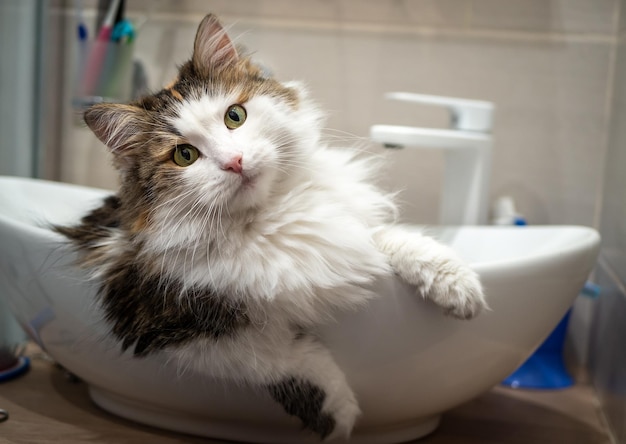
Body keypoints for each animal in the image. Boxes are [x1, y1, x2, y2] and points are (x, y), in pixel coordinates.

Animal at [56, 13, 486, 440]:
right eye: (184, 155)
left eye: (235, 116)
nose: (234, 162)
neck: (269, 218)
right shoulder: (158, 322)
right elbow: (276, 356)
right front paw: (339, 415)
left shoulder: (346, 232)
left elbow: (389, 237)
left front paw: (456, 284)